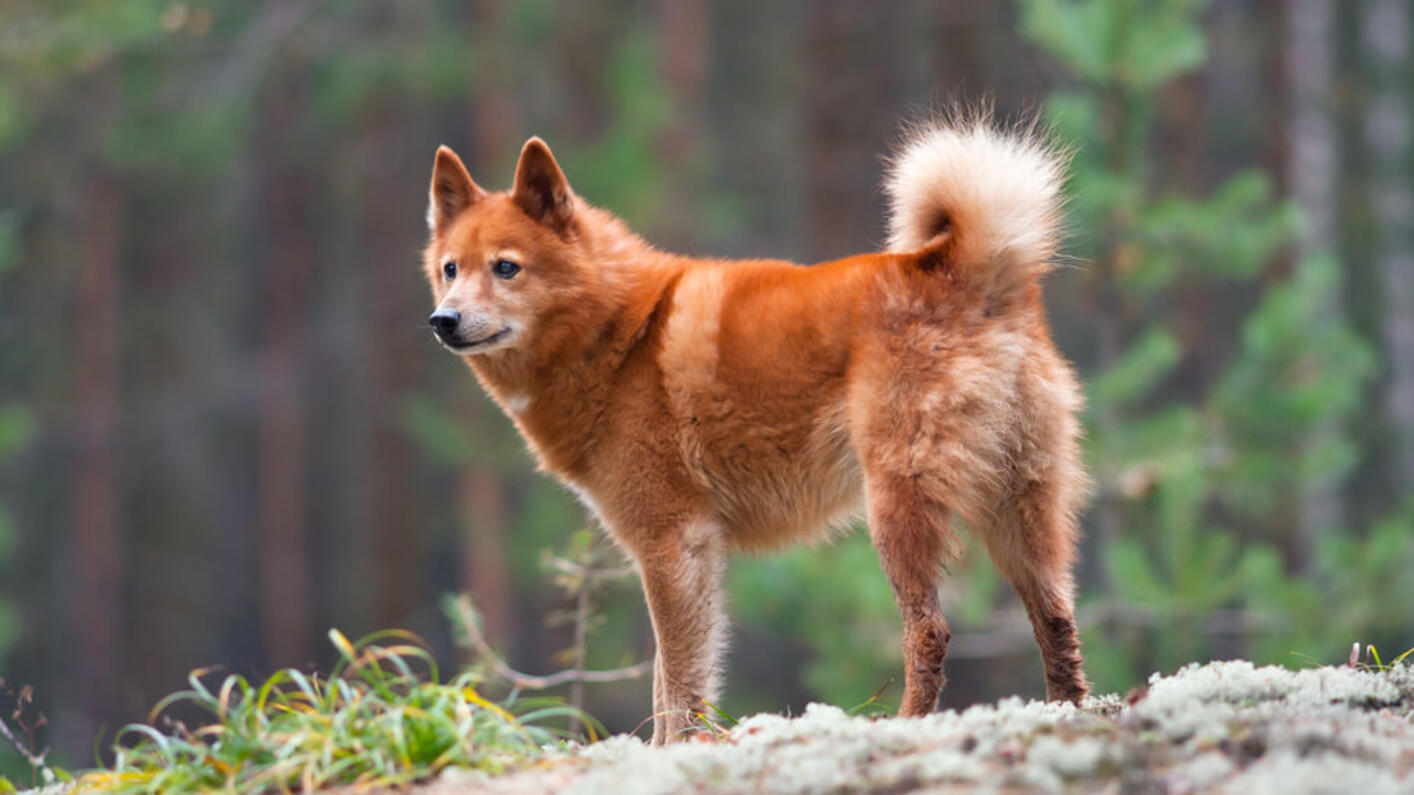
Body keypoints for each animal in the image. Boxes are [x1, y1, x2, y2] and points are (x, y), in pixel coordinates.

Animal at [424, 114, 1085, 741]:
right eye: (451, 269)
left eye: (506, 268)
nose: (442, 320)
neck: (620, 333)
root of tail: (964, 268)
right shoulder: (689, 553)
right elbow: (669, 679)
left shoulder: (673, 543)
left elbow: (678, 682)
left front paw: (678, 749)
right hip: (1019, 509)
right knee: (1056, 618)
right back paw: (1067, 711)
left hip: (899, 508)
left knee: (930, 632)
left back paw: (906, 721)